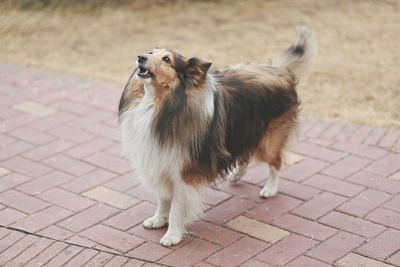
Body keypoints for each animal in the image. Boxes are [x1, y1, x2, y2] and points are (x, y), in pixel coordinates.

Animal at [117, 25, 318, 247]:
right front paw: (158, 219)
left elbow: (176, 206)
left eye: (167, 59)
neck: (160, 104)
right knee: (246, 154)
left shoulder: (183, 171)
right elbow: (163, 198)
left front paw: (172, 234)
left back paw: (270, 189)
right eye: (151, 52)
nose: (140, 57)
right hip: (243, 131)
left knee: (276, 162)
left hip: (268, 140)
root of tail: (278, 69)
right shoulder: (160, 161)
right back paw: (237, 175)